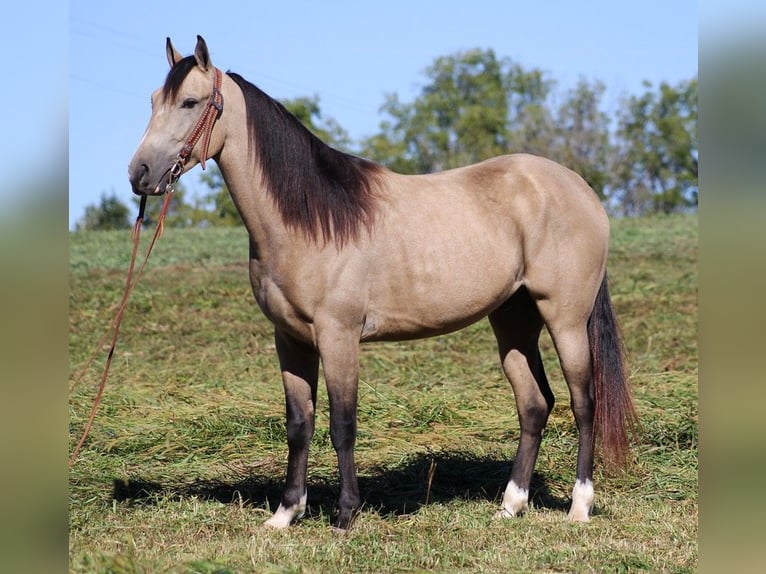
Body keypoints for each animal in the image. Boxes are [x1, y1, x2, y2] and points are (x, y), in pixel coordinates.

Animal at [129, 35, 640, 532]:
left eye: (190, 102)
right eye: (153, 99)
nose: (139, 174)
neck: (312, 219)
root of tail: (582, 189)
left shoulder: (338, 337)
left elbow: (342, 425)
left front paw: (345, 516)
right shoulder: (291, 339)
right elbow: (299, 424)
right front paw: (285, 513)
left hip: (565, 319)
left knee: (583, 403)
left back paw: (579, 507)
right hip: (513, 320)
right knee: (534, 404)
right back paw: (510, 506)